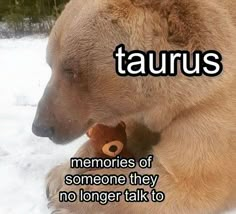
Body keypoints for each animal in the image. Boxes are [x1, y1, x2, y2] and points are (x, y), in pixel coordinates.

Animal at [32, 0, 236, 214]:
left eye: (71, 70)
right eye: (50, 64)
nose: (40, 127)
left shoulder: (207, 107)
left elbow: (184, 180)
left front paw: (65, 199)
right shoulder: (141, 109)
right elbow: (125, 132)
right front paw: (56, 176)